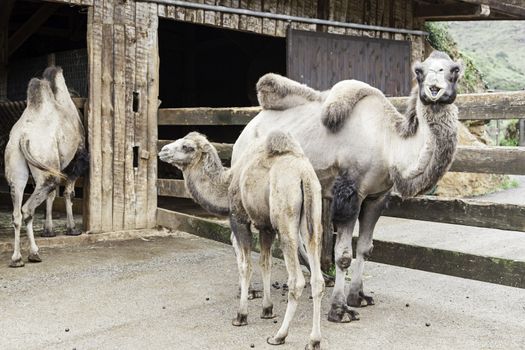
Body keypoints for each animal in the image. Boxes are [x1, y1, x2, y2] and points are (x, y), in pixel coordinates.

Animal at [158, 131, 326, 350]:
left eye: (187, 147)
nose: (163, 150)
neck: (227, 183)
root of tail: (303, 174)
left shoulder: (239, 218)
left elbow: (246, 266)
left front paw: (241, 315)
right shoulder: (266, 226)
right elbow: (265, 263)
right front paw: (267, 309)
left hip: (285, 219)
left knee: (296, 280)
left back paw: (279, 336)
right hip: (313, 216)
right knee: (317, 278)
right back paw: (314, 340)